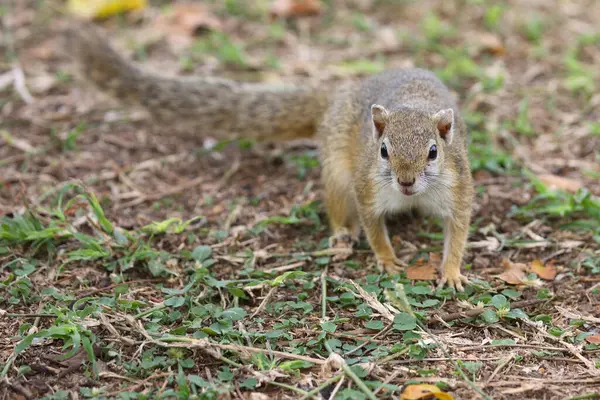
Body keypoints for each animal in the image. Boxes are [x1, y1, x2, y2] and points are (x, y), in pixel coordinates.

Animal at [67, 22, 474, 290]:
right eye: (383, 151)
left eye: (434, 152)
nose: (405, 182)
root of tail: (339, 96)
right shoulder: (367, 187)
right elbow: (374, 228)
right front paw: (387, 260)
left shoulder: (458, 189)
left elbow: (458, 231)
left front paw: (452, 272)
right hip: (337, 172)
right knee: (337, 205)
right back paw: (342, 233)